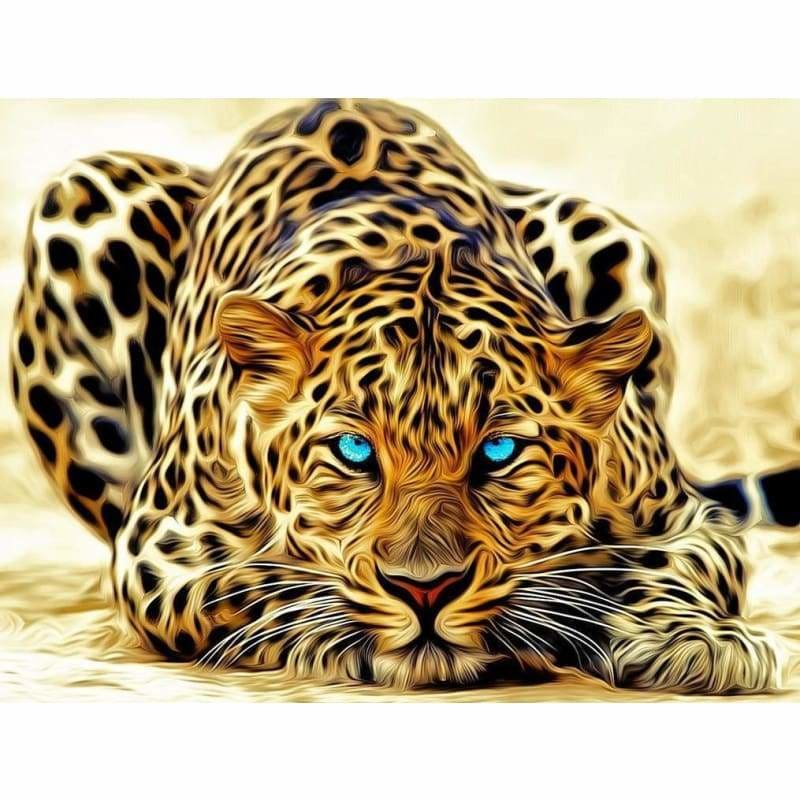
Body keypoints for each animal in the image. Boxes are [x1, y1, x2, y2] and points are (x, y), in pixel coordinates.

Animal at [10, 98, 798, 692]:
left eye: (500, 451)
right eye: (354, 451)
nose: (426, 590)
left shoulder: (688, 520)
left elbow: (672, 568)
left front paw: (696, 641)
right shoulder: (160, 549)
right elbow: (258, 586)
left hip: (603, 229)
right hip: (80, 196)